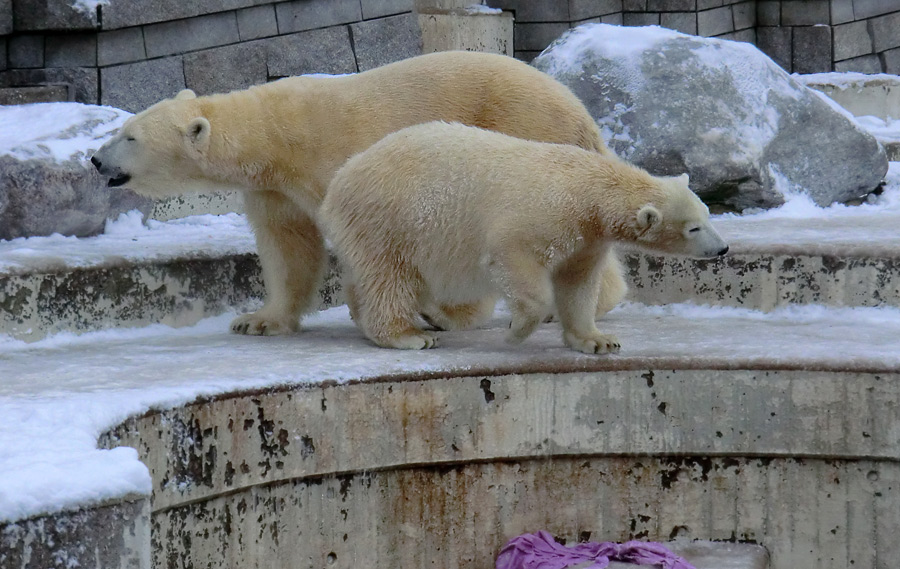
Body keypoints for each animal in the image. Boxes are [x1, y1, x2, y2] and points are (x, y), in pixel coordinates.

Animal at [91, 51, 624, 336]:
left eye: (130, 137)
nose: (96, 161)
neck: (273, 135)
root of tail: (584, 116)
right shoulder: (274, 188)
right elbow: (289, 246)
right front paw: (259, 320)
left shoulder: (333, 155)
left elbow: (372, 232)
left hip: (521, 129)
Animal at [320, 122, 728, 352]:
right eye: (693, 228)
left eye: (708, 216)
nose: (723, 248)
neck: (590, 188)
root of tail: (337, 183)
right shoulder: (547, 214)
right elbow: (513, 256)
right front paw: (516, 331)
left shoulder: (587, 238)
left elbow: (578, 281)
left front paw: (597, 341)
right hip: (389, 218)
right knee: (389, 275)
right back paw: (407, 335)